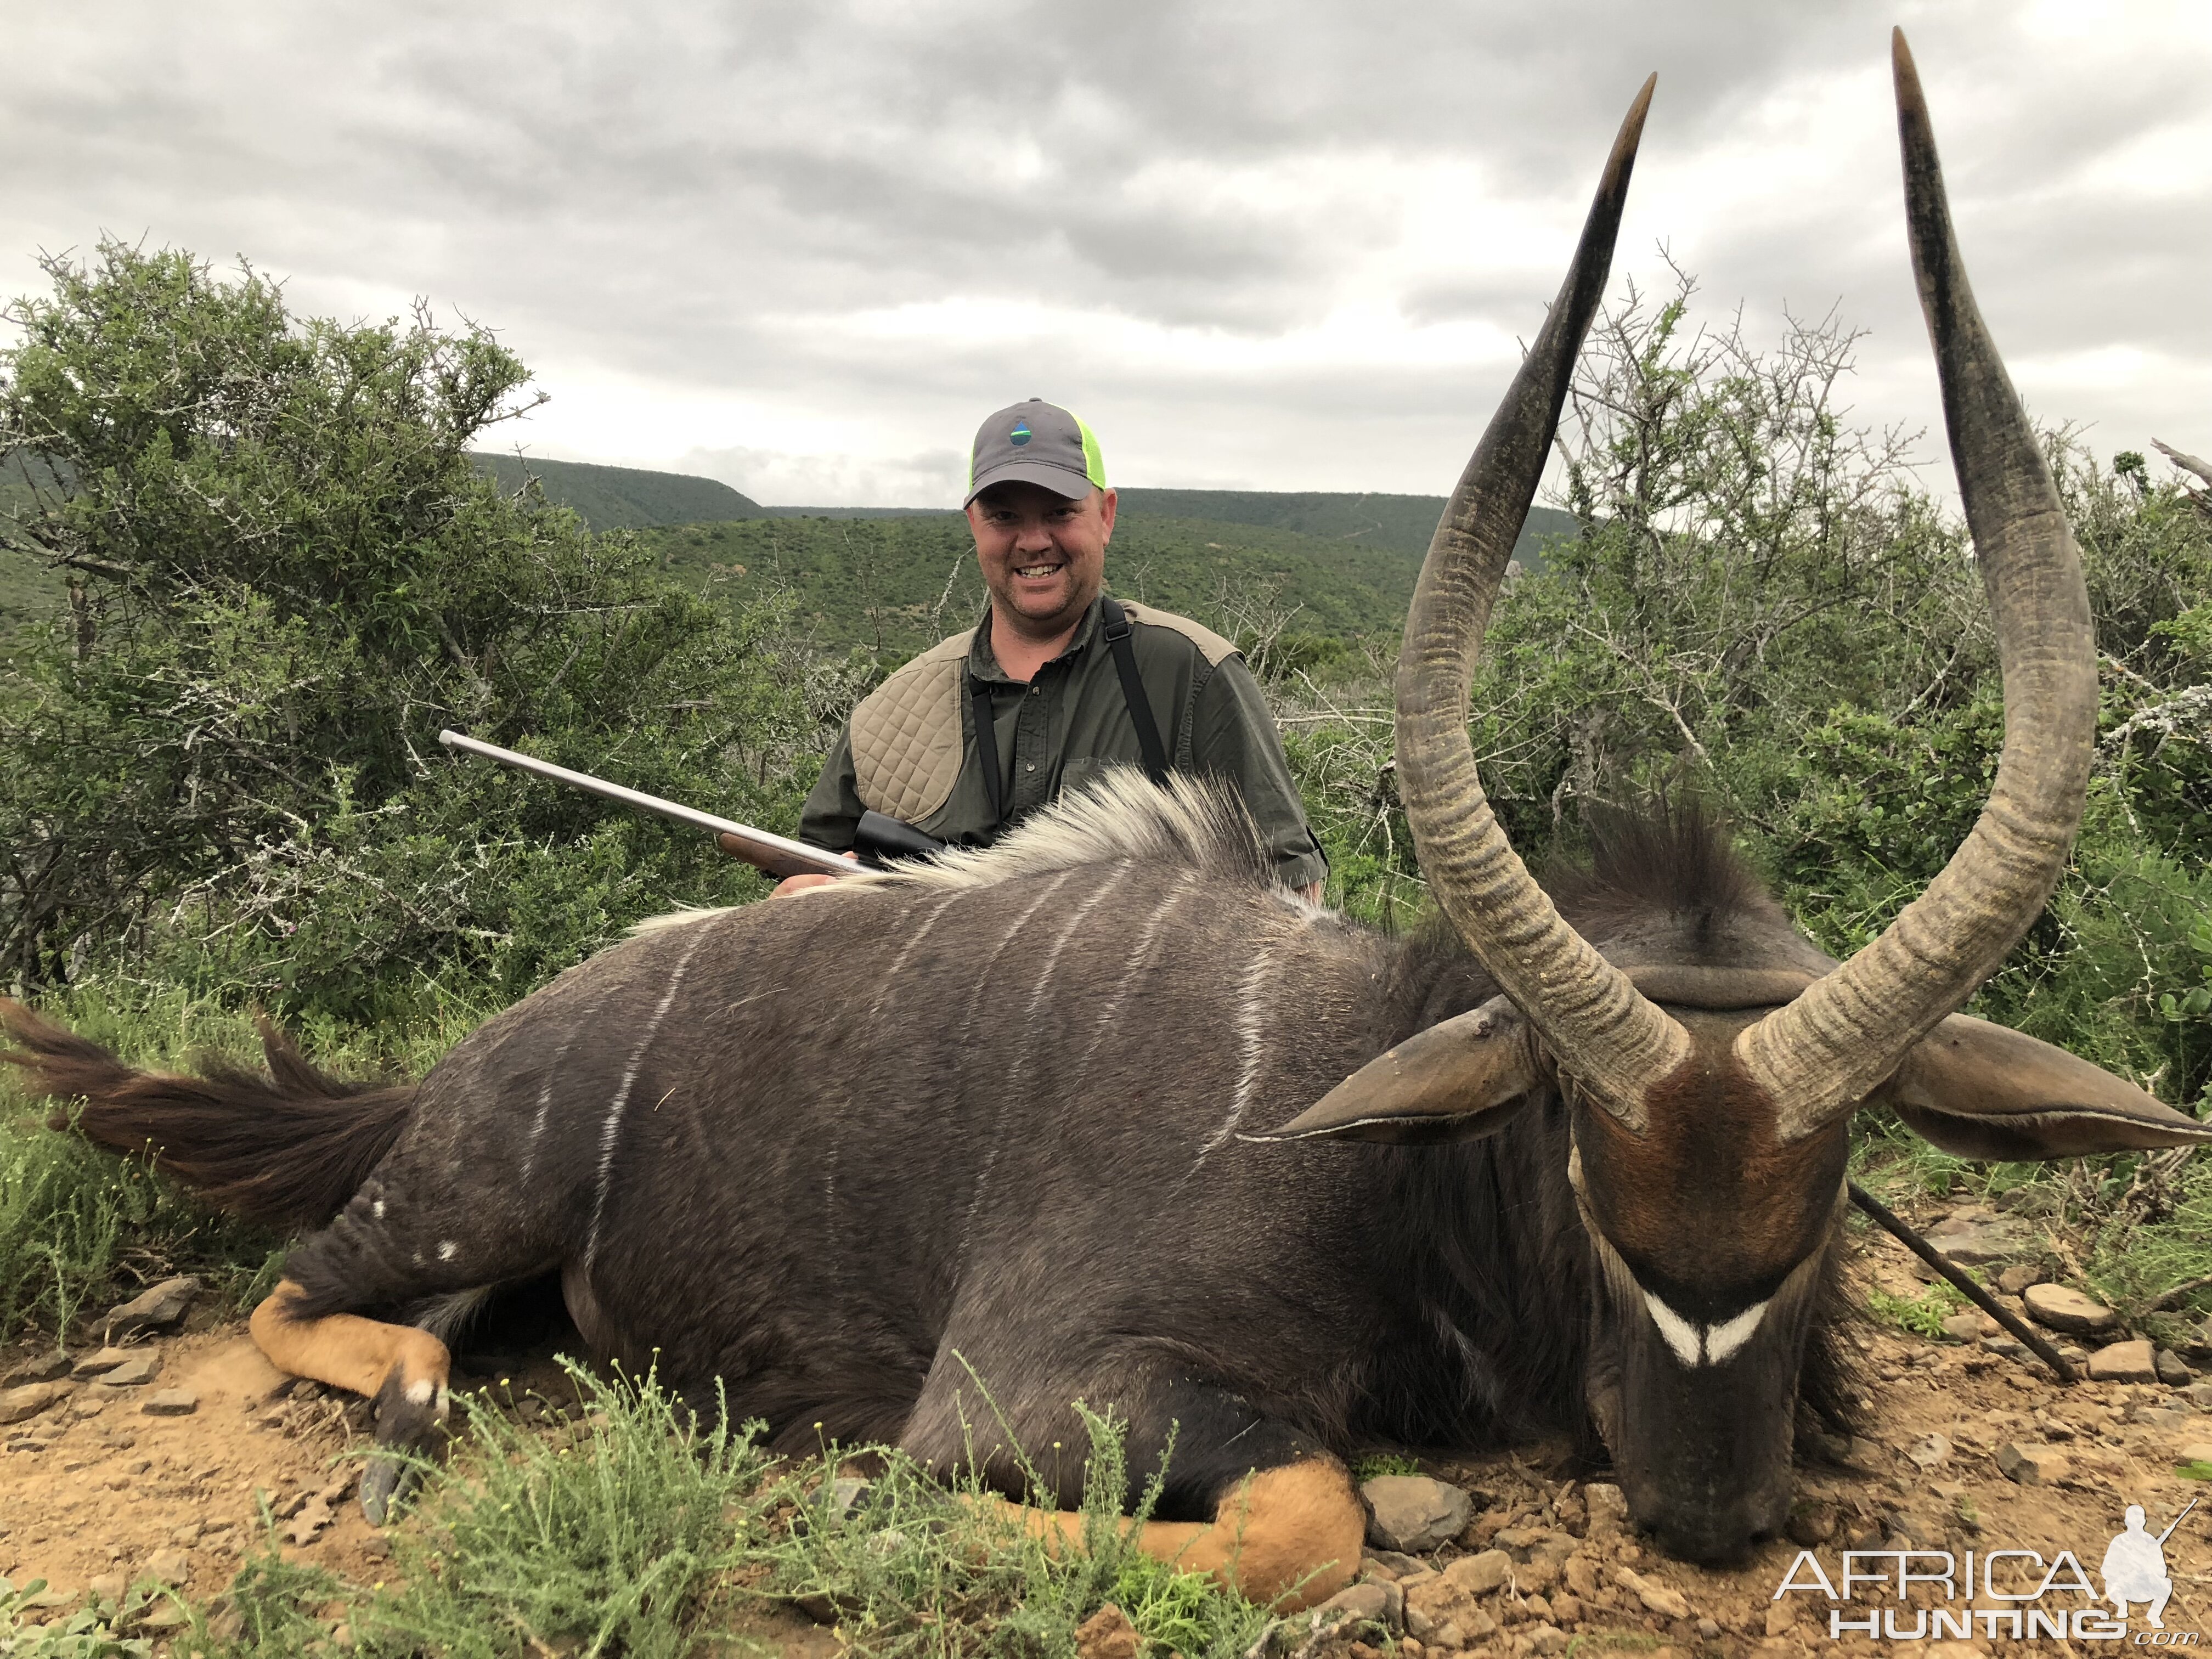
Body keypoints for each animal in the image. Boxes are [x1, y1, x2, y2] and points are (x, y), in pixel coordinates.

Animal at [8, 36, 2203, 1610]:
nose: (1707, 1506)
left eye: (1832, 1191)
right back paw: (407, 1413)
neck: (1371, 1134)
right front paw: (851, 1522)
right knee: (304, 1298)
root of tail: (472, 1057)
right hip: (469, 1199)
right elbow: (1300, 1512)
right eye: (1589, 1176)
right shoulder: (1050, 1386)